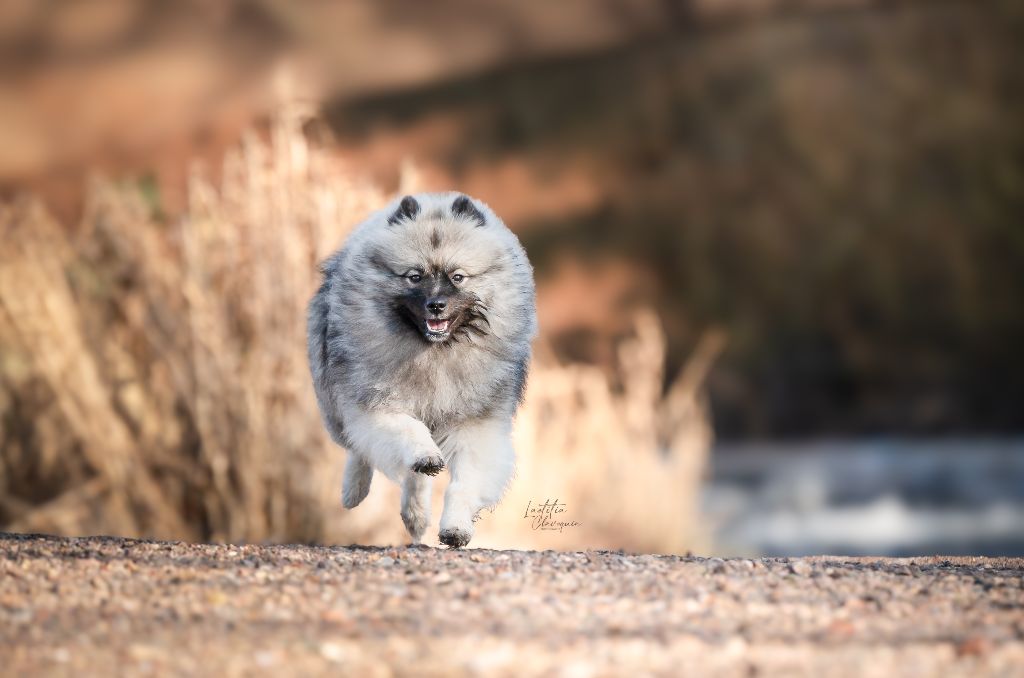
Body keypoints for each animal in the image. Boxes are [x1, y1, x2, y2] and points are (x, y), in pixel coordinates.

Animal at [303, 191, 540, 548]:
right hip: (334, 406)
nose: (436, 305)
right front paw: (425, 455)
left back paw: (416, 517)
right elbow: (408, 432)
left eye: (457, 277)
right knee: (359, 449)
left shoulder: (475, 428)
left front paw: (456, 528)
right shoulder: (378, 408)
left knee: (412, 478)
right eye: (415, 276)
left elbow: (463, 485)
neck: (435, 351)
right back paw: (355, 491)